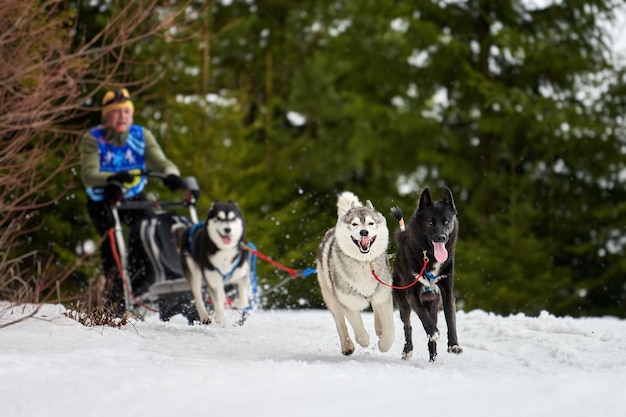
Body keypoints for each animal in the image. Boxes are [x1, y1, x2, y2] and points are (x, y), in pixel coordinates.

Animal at [392, 187, 460, 360]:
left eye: (446, 222)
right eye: (430, 222)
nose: (441, 237)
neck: (429, 257)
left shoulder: (447, 292)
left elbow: (451, 319)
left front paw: (454, 345)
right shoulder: (412, 294)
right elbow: (422, 315)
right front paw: (433, 332)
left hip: (433, 303)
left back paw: (433, 356)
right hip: (403, 302)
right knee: (408, 326)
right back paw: (408, 350)